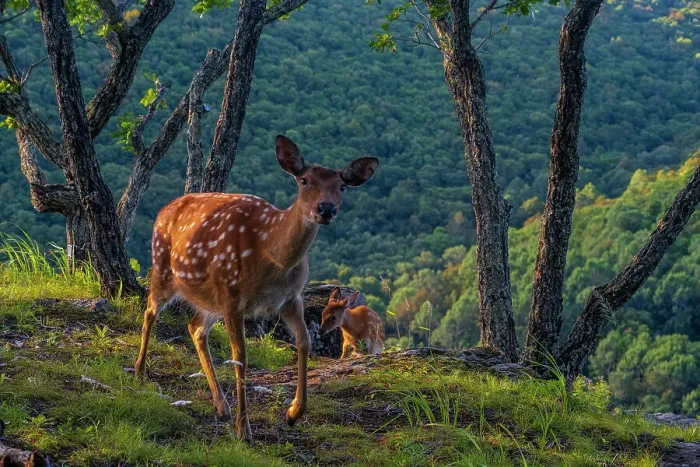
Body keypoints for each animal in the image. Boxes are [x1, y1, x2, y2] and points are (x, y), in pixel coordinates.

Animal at [133, 135, 378, 442]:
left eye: (342, 186)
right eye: (304, 180)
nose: (326, 209)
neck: (270, 257)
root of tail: (165, 209)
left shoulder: (291, 297)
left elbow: (305, 342)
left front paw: (293, 413)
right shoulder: (232, 295)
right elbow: (241, 357)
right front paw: (244, 431)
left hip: (210, 298)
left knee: (195, 327)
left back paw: (221, 406)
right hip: (165, 268)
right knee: (150, 312)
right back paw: (139, 371)